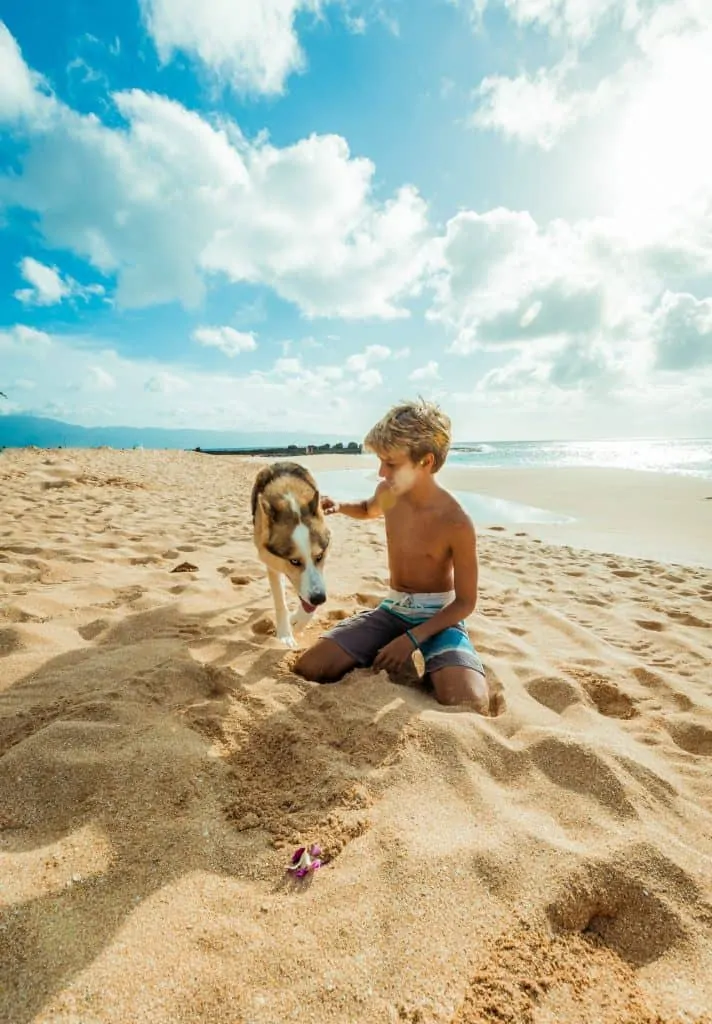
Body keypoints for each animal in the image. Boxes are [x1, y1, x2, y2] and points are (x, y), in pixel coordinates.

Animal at [250, 464, 331, 647]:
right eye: (294, 561)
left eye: (319, 557)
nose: (319, 599)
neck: (291, 501)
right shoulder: (271, 562)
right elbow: (280, 601)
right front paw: (285, 634)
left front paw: (299, 622)